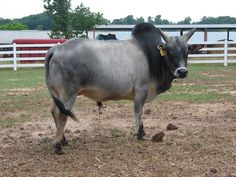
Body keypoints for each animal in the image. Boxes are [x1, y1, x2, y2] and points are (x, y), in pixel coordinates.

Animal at [44, 22, 201, 154]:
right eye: (168, 51)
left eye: (187, 51)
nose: (182, 71)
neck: (151, 56)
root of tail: (56, 48)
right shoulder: (140, 91)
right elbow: (138, 112)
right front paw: (139, 135)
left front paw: (143, 132)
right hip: (68, 93)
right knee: (62, 114)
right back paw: (57, 146)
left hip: (57, 93)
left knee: (54, 111)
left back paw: (63, 140)